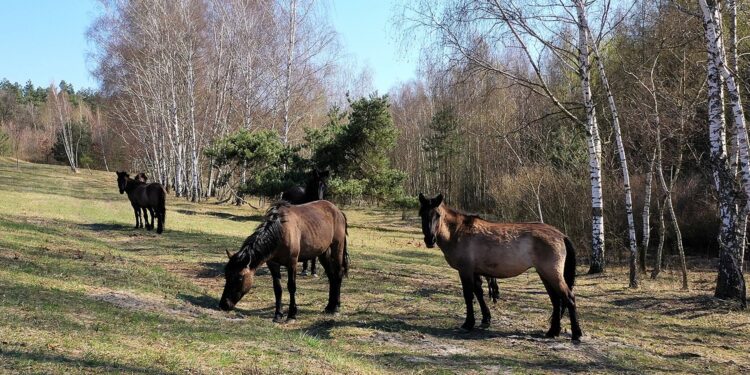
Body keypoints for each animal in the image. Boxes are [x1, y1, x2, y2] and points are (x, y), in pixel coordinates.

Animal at [216, 200, 348, 324]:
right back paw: (329, 306)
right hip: (323, 253)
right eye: (226, 275)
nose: (224, 305)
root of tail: (338, 211)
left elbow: (291, 287)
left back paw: (336, 307)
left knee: (338, 274)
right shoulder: (273, 264)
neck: (280, 230)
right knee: (331, 277)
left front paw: (291, 315)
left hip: (337, 248)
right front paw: (278, 315)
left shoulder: (292, 263)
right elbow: (277, 289)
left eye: (239, 278)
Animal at [420, 195, 584, 342]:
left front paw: (468, 323)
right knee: (556, 301)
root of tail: (561, 235)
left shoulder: (465, 271)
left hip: (552, 274)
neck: (458, 231)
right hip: (545, 274)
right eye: (422, 213)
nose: (430, 240)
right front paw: (485, 319)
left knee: (568, 298)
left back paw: (576, 334)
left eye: (438, 215)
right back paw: (552, 332)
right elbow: (479, 293)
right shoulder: (474, 272)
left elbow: (468, 296)